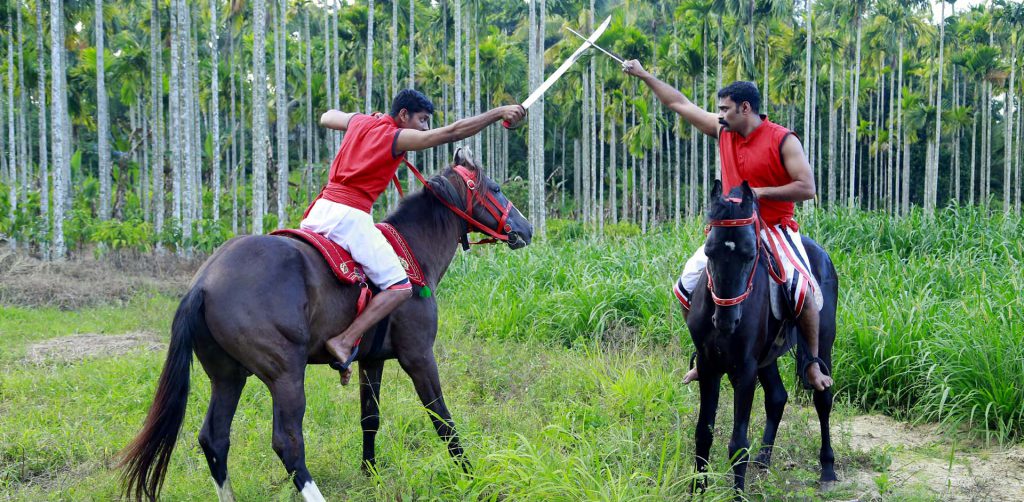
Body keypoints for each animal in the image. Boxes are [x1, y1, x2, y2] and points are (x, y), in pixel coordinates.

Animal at [118, 148, 532, 501]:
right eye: (496, 188)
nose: (525, 228)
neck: (412, 252)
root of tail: (204, 282)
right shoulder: (418, 356)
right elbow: (443, 419)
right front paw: (472, 478)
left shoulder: (372, 360)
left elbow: (370, 419)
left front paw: (370, 476)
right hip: (285, 374)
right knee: (287, 442)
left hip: (228, 376)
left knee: (214, 438)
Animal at [688, 181, 839, 493]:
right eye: (709, 252)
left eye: (749, 253)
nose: (726, 321)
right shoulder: (709, 367)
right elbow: (703, 434)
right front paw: (697, 490)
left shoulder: (744, 371)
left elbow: (738, 444)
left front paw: (737, 495)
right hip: (766, 358)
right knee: (777, 397)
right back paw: (764, 458)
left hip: (822, 345)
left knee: (823, 399)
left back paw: (828, 468)